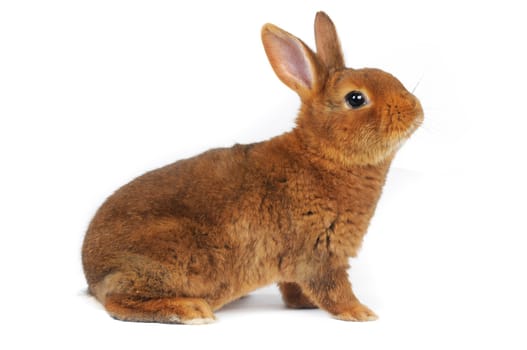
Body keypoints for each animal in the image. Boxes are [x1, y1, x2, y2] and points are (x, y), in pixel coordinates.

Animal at [82, 13, 424, 326]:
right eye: (355, 98)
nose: (417, 111)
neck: (322, 154)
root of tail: (91, 272)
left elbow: (294, 286)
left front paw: (303, 306)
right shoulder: (319, 252)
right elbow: (333, 288)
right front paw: (361, 313)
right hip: (173, 260)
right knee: (118, 301)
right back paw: (191, 311)